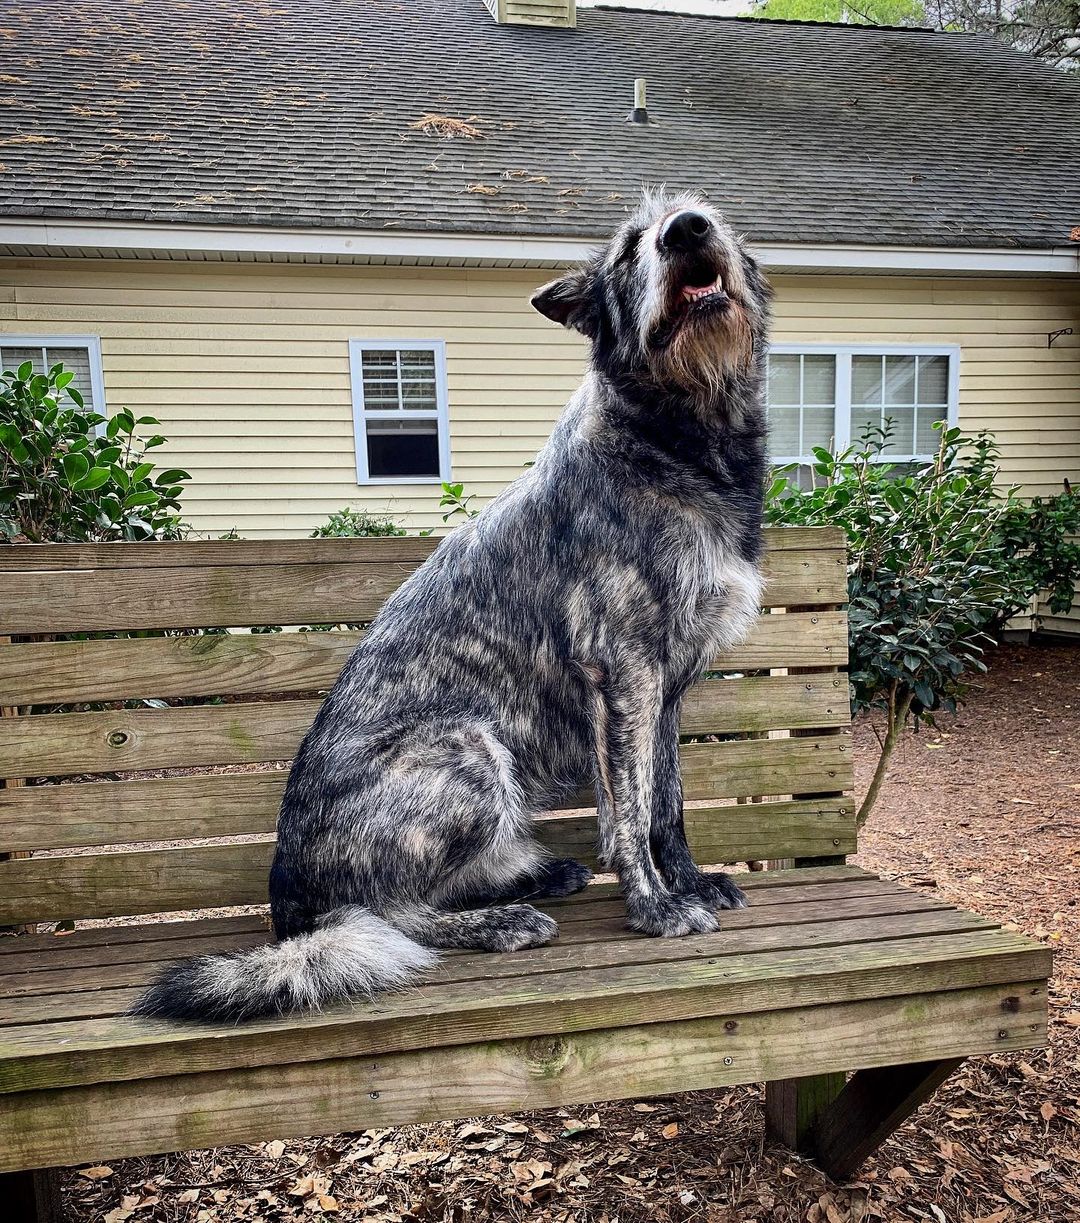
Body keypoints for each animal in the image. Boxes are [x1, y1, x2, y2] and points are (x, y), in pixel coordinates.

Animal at [135, 190, 773, 1027]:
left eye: (704, 213)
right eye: (633, 247)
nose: (686, 231)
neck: (677, 436)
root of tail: (289, 911)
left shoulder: (663, 692)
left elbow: (666, 802)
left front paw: (690, 880)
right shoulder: (623, 674)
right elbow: (629, 810)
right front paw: (655, 906)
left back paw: (534, 875)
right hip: (467, 748)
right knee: (387, 919)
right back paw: (499, 918)